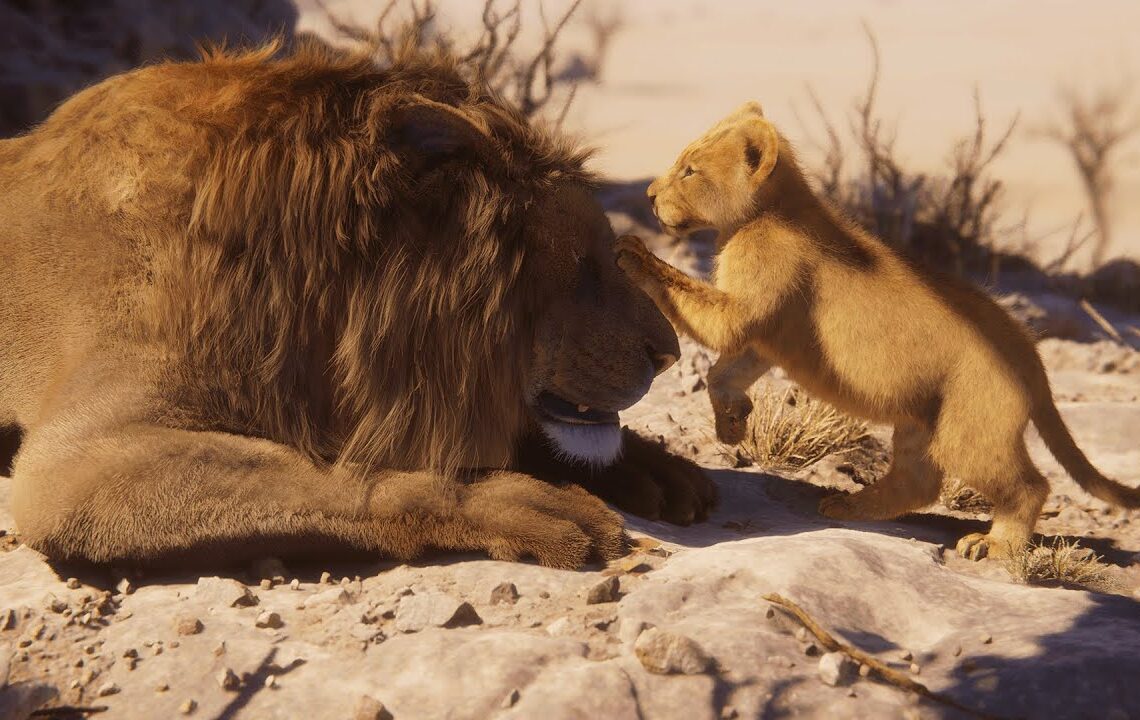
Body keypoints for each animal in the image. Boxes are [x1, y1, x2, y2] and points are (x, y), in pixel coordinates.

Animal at [0, 42, 717, 571]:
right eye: (582, 266)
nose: (668, 354)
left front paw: (656, 471)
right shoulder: (75, 466)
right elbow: (339, 477)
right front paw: (534, 504)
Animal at [615, 101, 1140, 560]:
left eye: (689, 170)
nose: (648, 195)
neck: (763, 213)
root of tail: (1031, 354)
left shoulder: (747, 305)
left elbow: (704, 316)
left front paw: (635, 255)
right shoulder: (768, 334)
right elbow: (723, 373)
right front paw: (732, 422)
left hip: (971, 427)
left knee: (1029, 486)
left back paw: (994, 545)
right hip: (922, 420)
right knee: (919, 483)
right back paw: (850, 504)